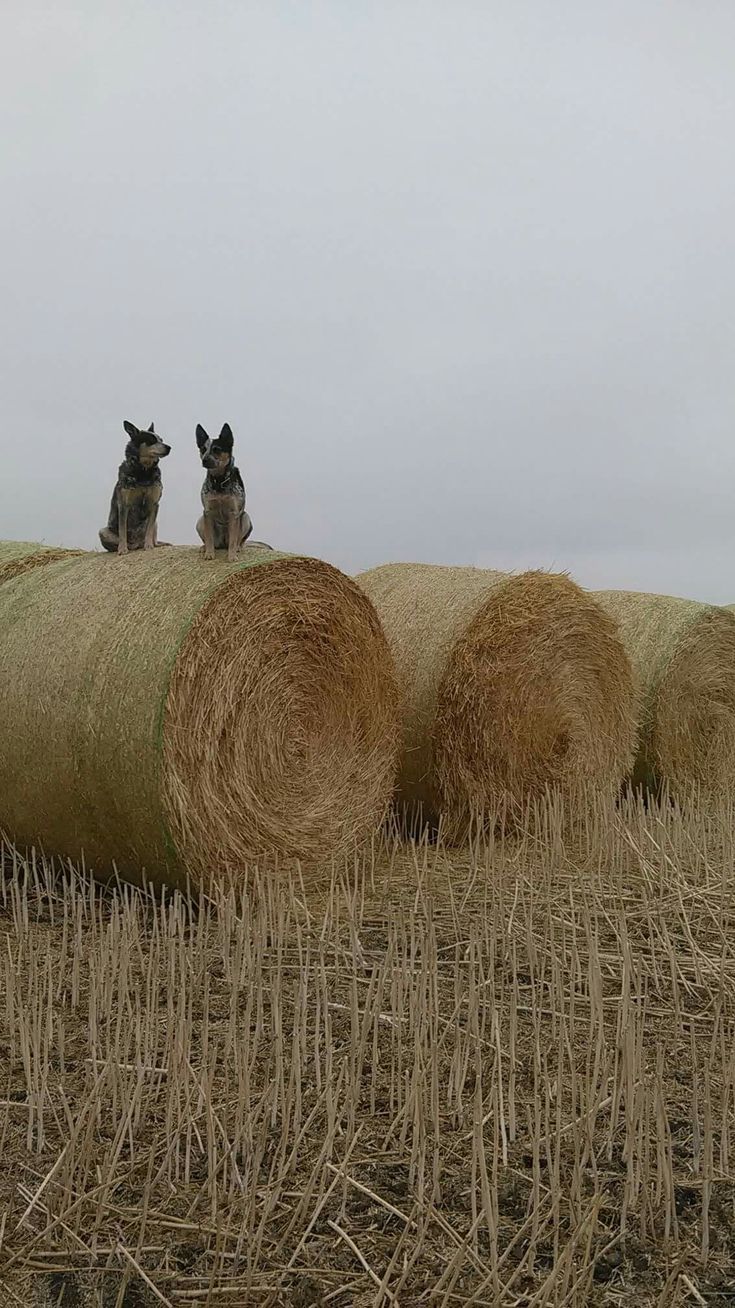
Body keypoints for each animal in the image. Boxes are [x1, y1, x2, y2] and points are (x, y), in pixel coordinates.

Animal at [99, 421, 171, 554]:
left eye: (161, 440)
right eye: (151, 440)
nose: (169, 447)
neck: (143, 472)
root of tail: (137, 543)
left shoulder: (154, 503)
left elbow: (149, 530)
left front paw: (149, 546)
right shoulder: (123, 504)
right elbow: (122, 530)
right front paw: (122, 549)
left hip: (156, 523)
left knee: (153, 536)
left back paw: (155, 544)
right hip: (103, 531)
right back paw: (126, 547)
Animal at [194, 421, 272, 559]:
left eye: (217, 449)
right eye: (203, 449)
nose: (204, 460)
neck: (219, 481)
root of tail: (222, 544)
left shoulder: (234, 512)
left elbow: (234, 539)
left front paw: (232, 557)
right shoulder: (207, 512)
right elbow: (209, 537)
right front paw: (209, 554)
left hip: (245, 518)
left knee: (240, 540)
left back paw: (238, 548)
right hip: (200, 520)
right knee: (209, 540)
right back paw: (204, 548)